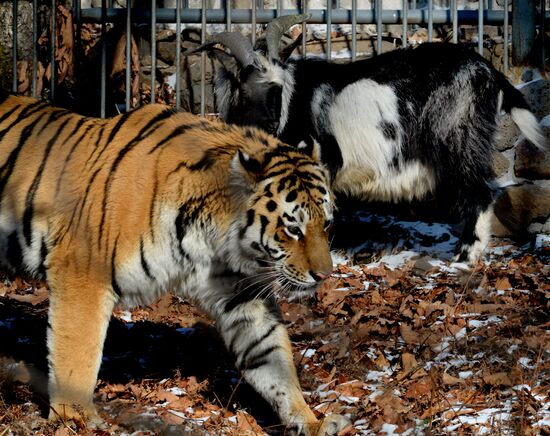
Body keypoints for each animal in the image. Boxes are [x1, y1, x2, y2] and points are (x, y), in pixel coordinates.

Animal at [0, 93, 352, 434]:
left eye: (327, 225)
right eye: (293, 229)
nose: (324, 275)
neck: (211, 237)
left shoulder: (240, 294)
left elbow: (273, 357)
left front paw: (311, 421)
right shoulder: (83, 274)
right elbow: (76, 354)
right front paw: (77, 419)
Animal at [201, 16, 548, 262]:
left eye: (276, 87)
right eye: (246, 87)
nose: (273, 123)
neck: (292, 102)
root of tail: (489, 71)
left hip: (458, 140)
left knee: (479, 192)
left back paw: (465, 255)